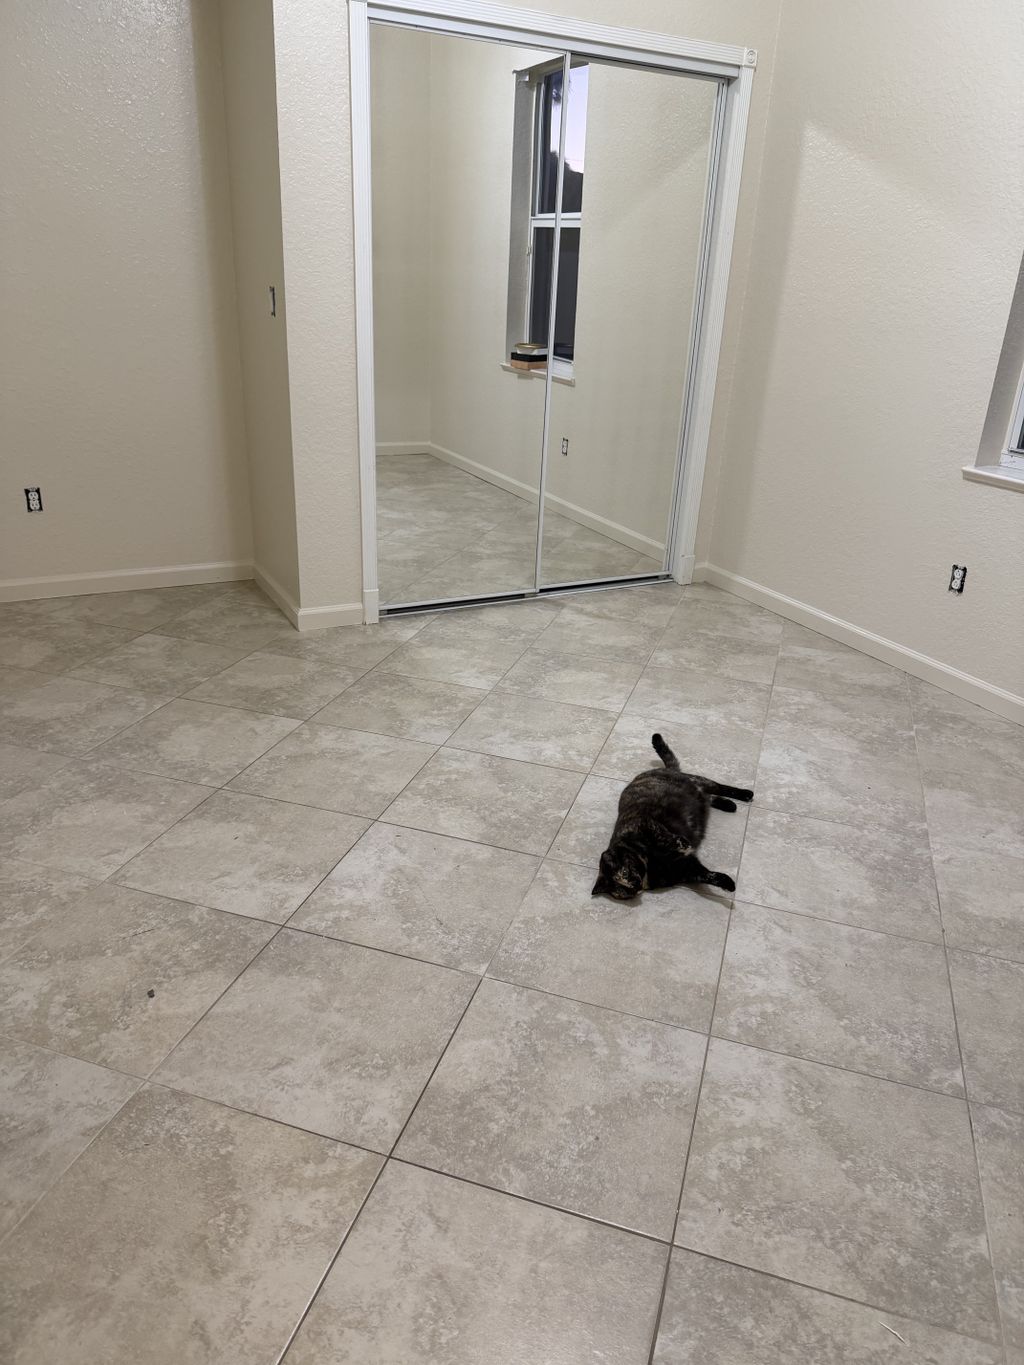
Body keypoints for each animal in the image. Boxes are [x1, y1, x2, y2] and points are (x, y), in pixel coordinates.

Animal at [591, 733, 753, 901]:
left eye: (624, 873)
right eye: (623, 891)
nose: (634, 885)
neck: (648, 863)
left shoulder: (645, 823)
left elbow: (663, 837)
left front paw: (682, 844)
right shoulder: (684, 869)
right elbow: (709, 876)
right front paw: (728, 884)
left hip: (699, 781)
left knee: (719, 787)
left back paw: (745, 794)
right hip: (700, 795)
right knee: (709, 798)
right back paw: (729, 804)